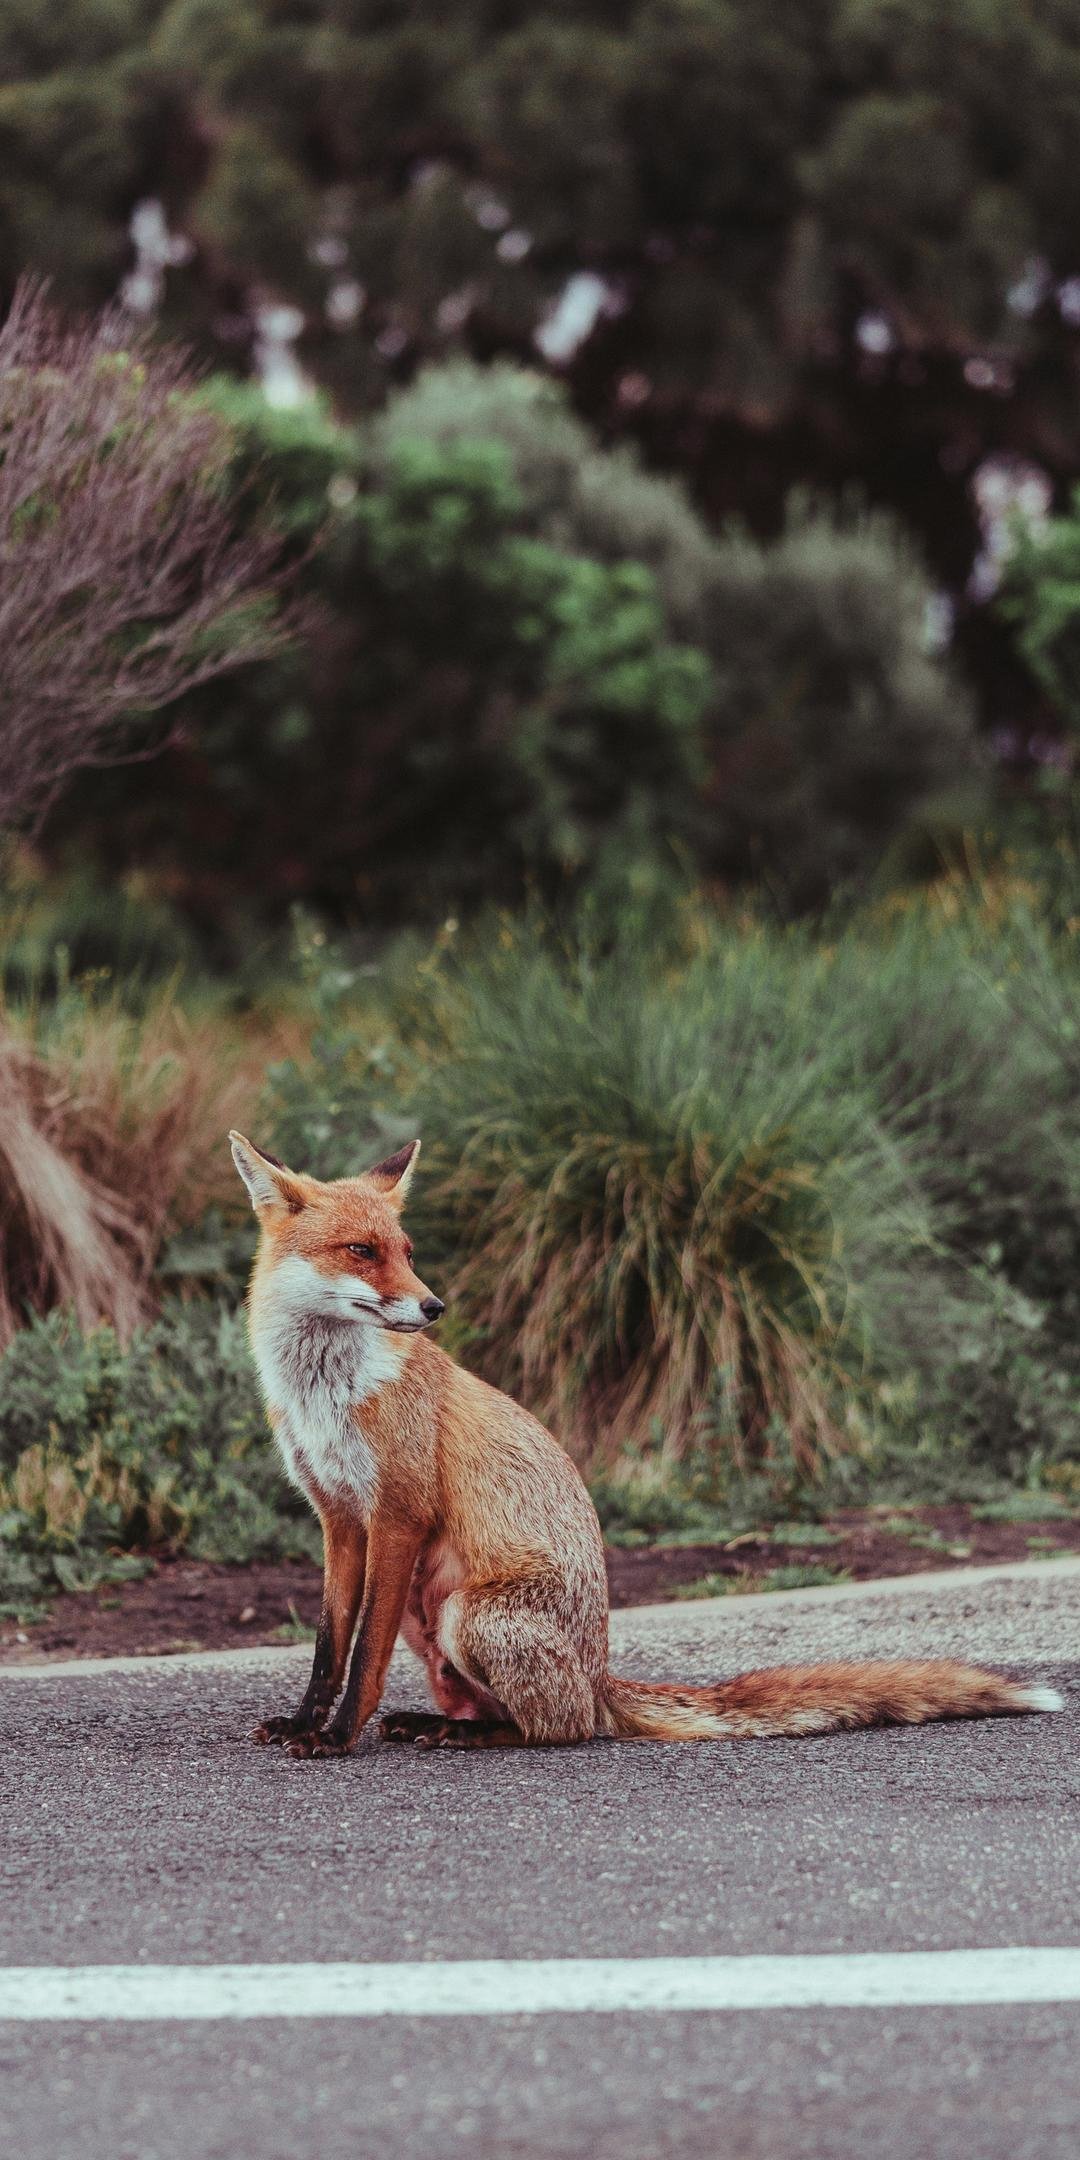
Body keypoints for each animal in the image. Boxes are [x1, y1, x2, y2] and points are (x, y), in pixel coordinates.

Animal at [227, 1131, 1062, 1753]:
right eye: (362, 1251)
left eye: (404, 1248)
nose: (434, 1306)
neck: (324, 1396)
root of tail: (602, 1679)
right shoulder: (341, 1520)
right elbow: (330, 1646)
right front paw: (305, 1724)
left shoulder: (398, 1513)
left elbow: (362, 1657)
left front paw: (336, 1738)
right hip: (433, 1629)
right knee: (517, 1712)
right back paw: (429, 1722)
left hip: (468, 1615)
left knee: (559, 1729)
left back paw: (468, 1735)